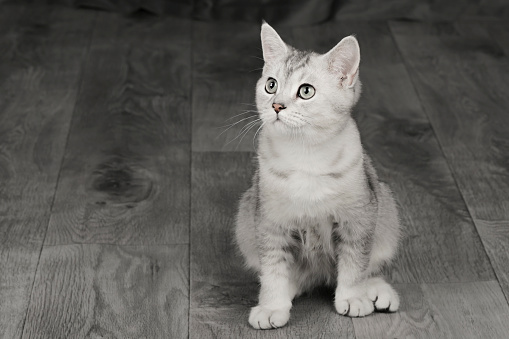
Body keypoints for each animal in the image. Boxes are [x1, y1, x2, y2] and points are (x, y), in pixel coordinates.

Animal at [234, 22, 400, 330]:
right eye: (271, 85)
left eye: (306, 91)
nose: (277, 106)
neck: (305, 157)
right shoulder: (269, 221)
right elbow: (273, 269)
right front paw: (272, 305)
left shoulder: (358, 218)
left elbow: (355, 265)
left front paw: (353, 297)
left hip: (385, 208)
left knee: (368, 266)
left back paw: (375, 290)